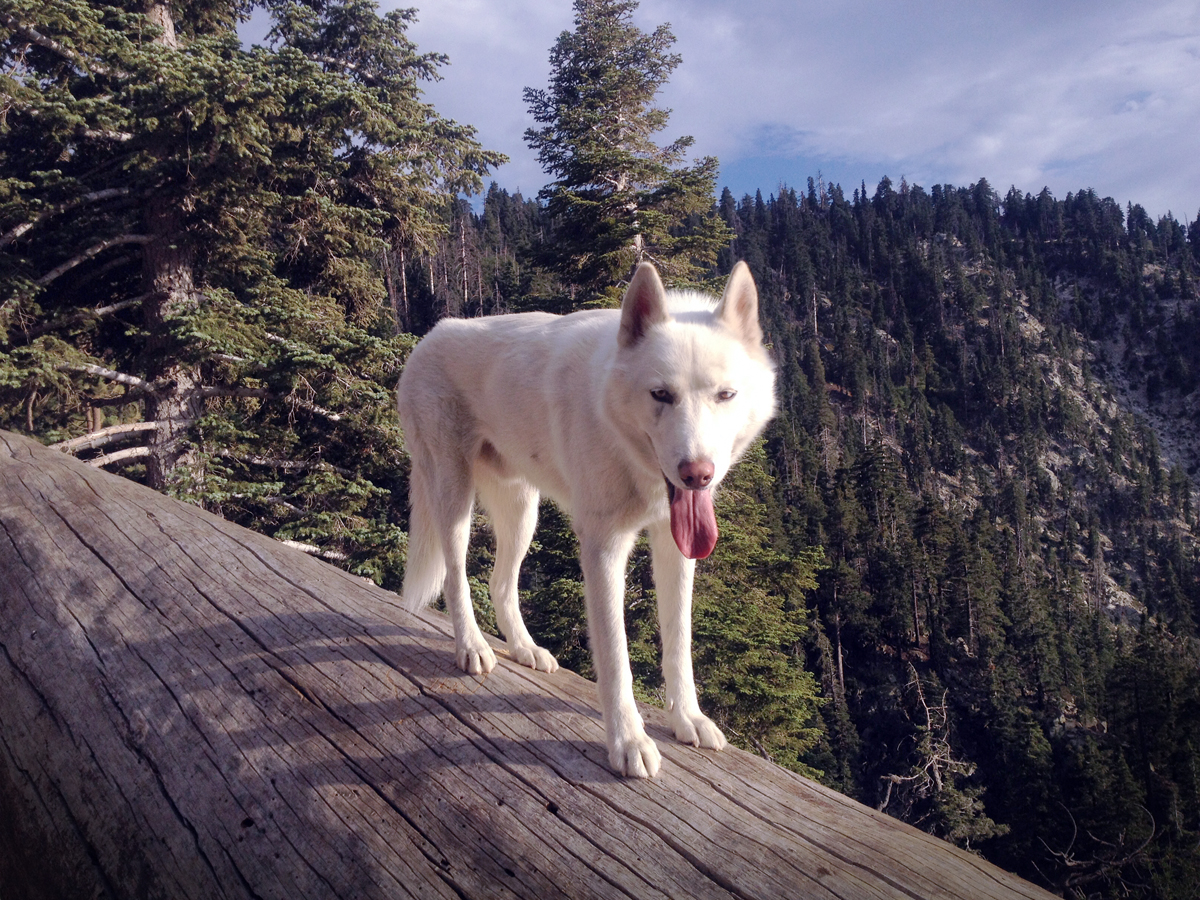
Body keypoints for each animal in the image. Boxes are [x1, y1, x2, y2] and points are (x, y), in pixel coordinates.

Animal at [397, 261, 776, 777]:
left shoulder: (673, 547)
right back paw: (472, 647)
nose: (697, 474)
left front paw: (688, 719)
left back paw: (525, 649)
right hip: (455, 500)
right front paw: (628, 742)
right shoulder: (603, 550)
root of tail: (429, 337)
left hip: (523, 512)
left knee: (500, 584)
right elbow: (616, 658)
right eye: (661, 394)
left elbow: (679, 644)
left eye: (726, 395)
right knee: (458, 577)